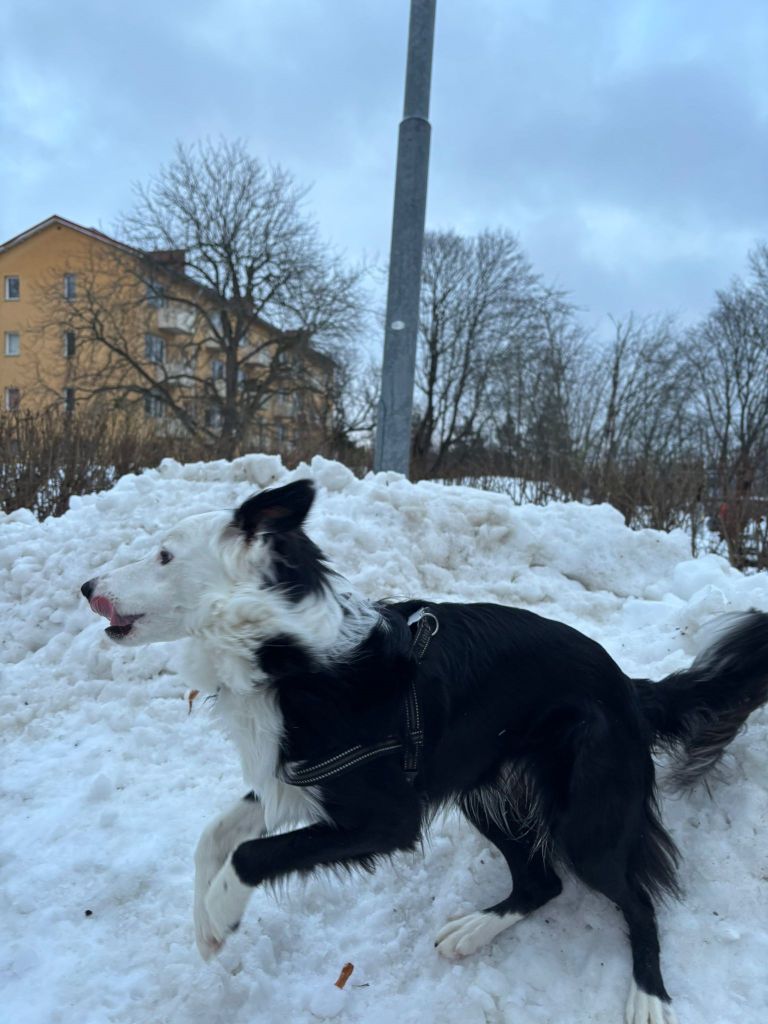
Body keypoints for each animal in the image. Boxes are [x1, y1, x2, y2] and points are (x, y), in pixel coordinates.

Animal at [79, 479, 768, 1024]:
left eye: (164, 555)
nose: (86, 586)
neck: (284, 651)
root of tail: (630, 686)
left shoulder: (387, 817)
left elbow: (250, 854)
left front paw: (222, 913)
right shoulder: (295, 776)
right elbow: (214, 835)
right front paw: (205, 923)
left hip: (587, 819)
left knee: (637, 899)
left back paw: (650, 997)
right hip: (484, 788)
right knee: (543, 881)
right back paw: (473, 932)